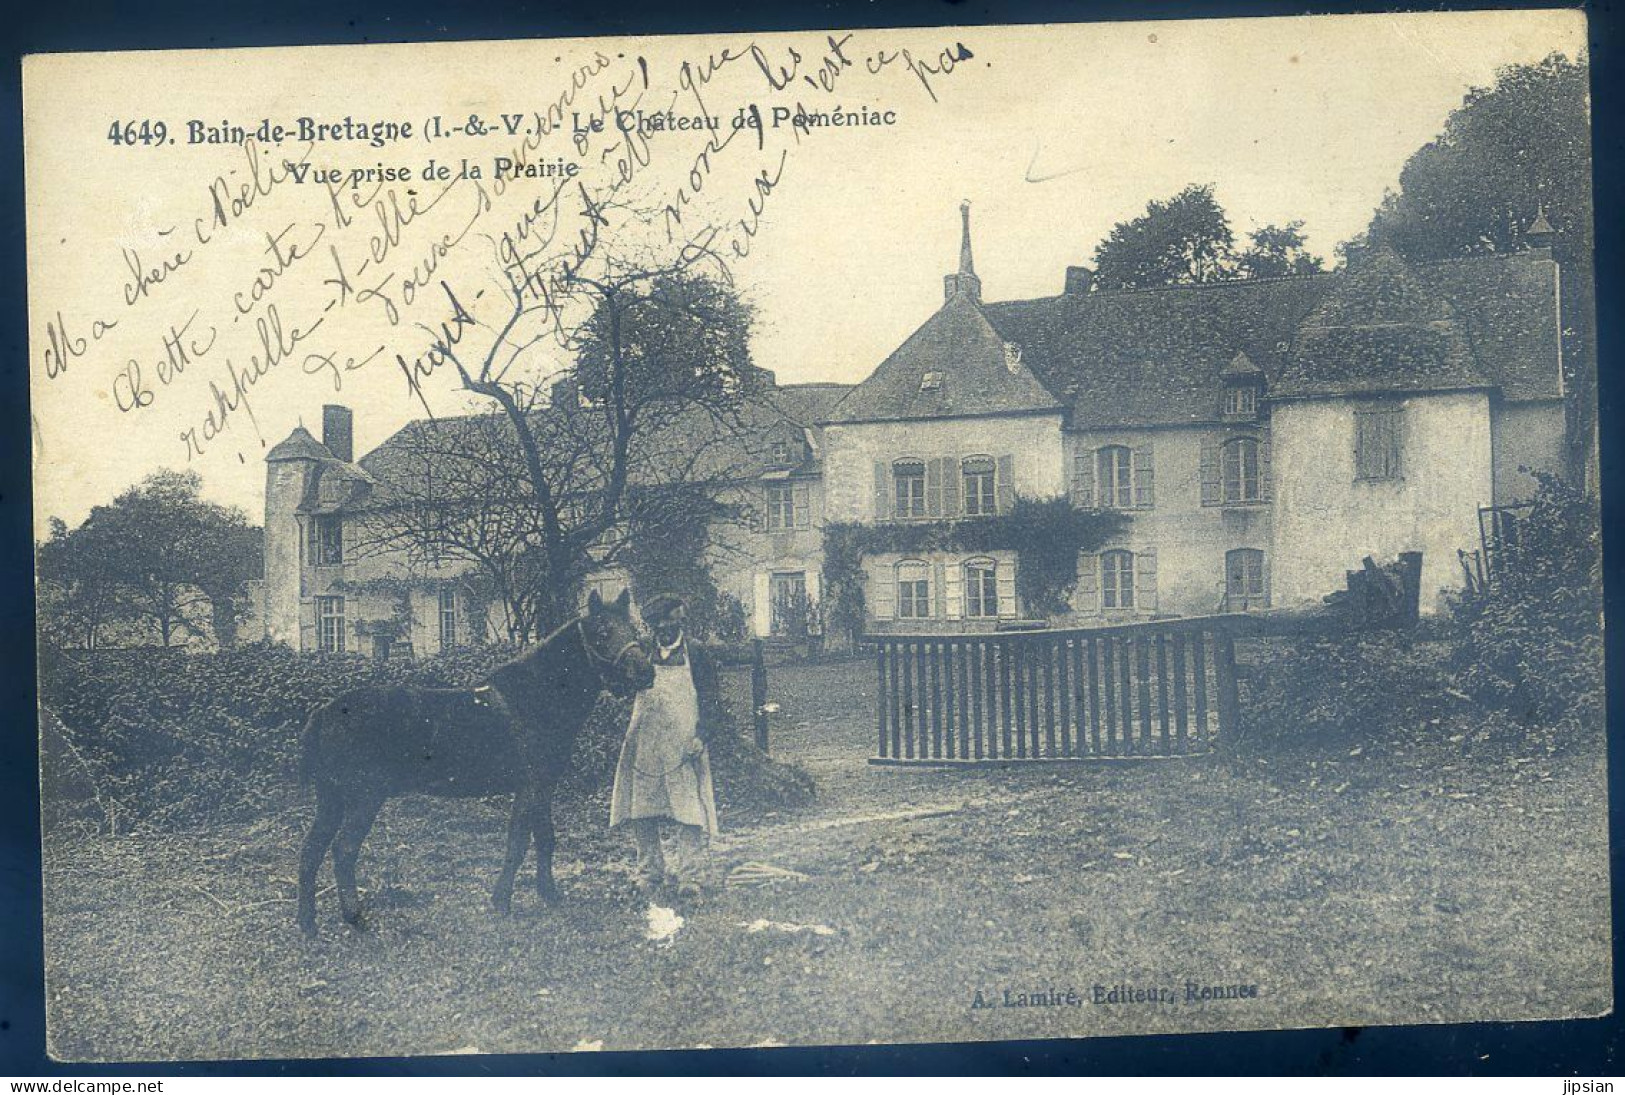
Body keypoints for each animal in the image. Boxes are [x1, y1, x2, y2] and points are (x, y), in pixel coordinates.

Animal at [295, 584, 650, 935]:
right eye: (602, 632)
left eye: (634, 630)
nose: (645, 674)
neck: (535, 697)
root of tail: (324, 713)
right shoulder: (530, 786)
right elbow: (518, 842)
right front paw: (502, 901)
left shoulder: (543, 787)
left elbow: (545, 838)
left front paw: (549, 894)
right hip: (363, 797)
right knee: (343, 850)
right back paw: (354, 917)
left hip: (332, 797)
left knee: (311, 849)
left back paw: (307, 923)